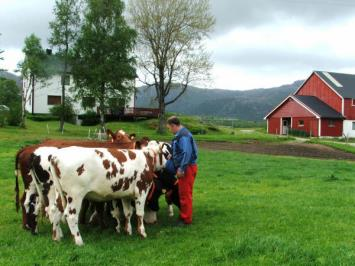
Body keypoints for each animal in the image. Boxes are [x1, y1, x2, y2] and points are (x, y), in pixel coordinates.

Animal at [39, 141, 171, 245]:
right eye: (166, 154)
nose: (170, 164)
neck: (147, 157)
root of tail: (56, 156)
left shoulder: (126, 194)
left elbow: (128, 213)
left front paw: (128, 231)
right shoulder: (142, 190)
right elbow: (140, 214)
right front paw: (142, 233)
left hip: (60, 193)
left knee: (55, 211)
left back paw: (56, 237)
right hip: (75, 194)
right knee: (71, 216)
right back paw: (79, 241)